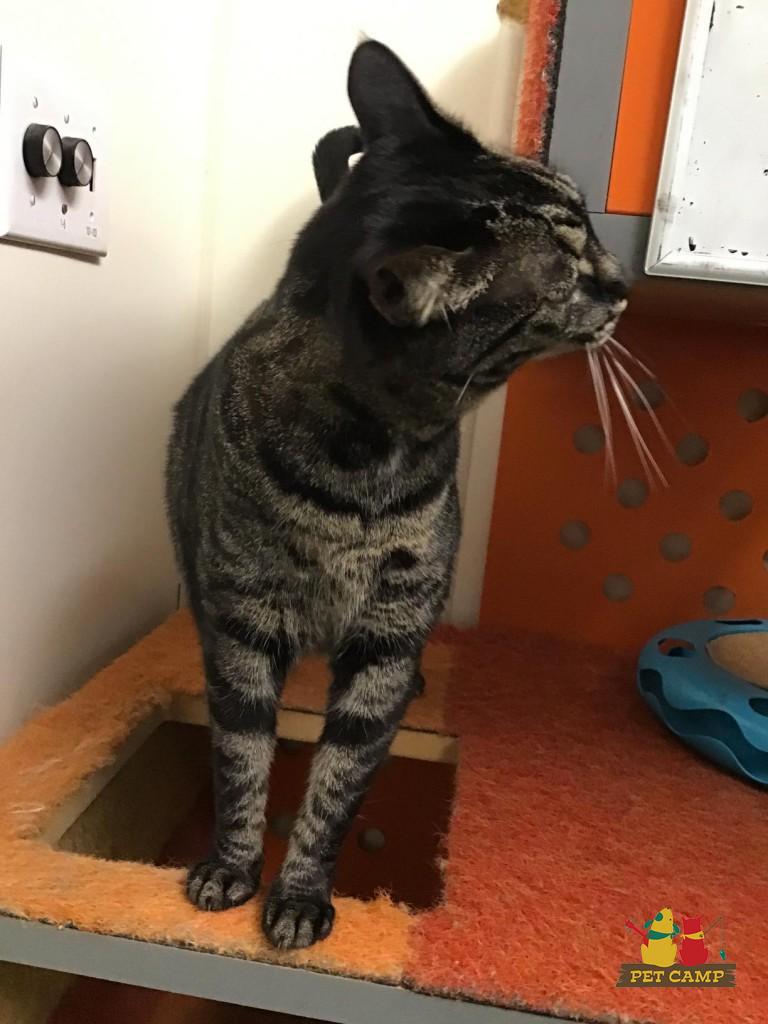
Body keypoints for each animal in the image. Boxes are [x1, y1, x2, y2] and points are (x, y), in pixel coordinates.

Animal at [165, 40, 627, 951]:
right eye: (567, 269)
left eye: (590, 226)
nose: (624, 283)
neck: (356, 472)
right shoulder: (241, 626)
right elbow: (241, 755)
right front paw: (231, 867)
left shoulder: (388, 635)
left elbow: (339, 778)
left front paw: (300, 894)